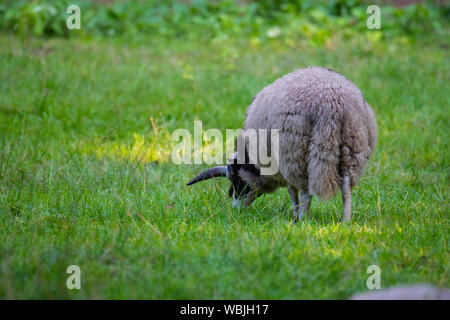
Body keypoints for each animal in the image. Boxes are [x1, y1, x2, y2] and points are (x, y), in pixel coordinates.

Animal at [188, 67, 378, 222]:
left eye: (237, 180)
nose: (236, 210)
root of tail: (334, 103)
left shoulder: (281, 165)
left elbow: (292, 192)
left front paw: (295, 216)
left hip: (296, 152)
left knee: (306, 191)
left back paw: (303, 219)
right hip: (353, 148)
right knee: (347, 188)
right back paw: (346, 221)